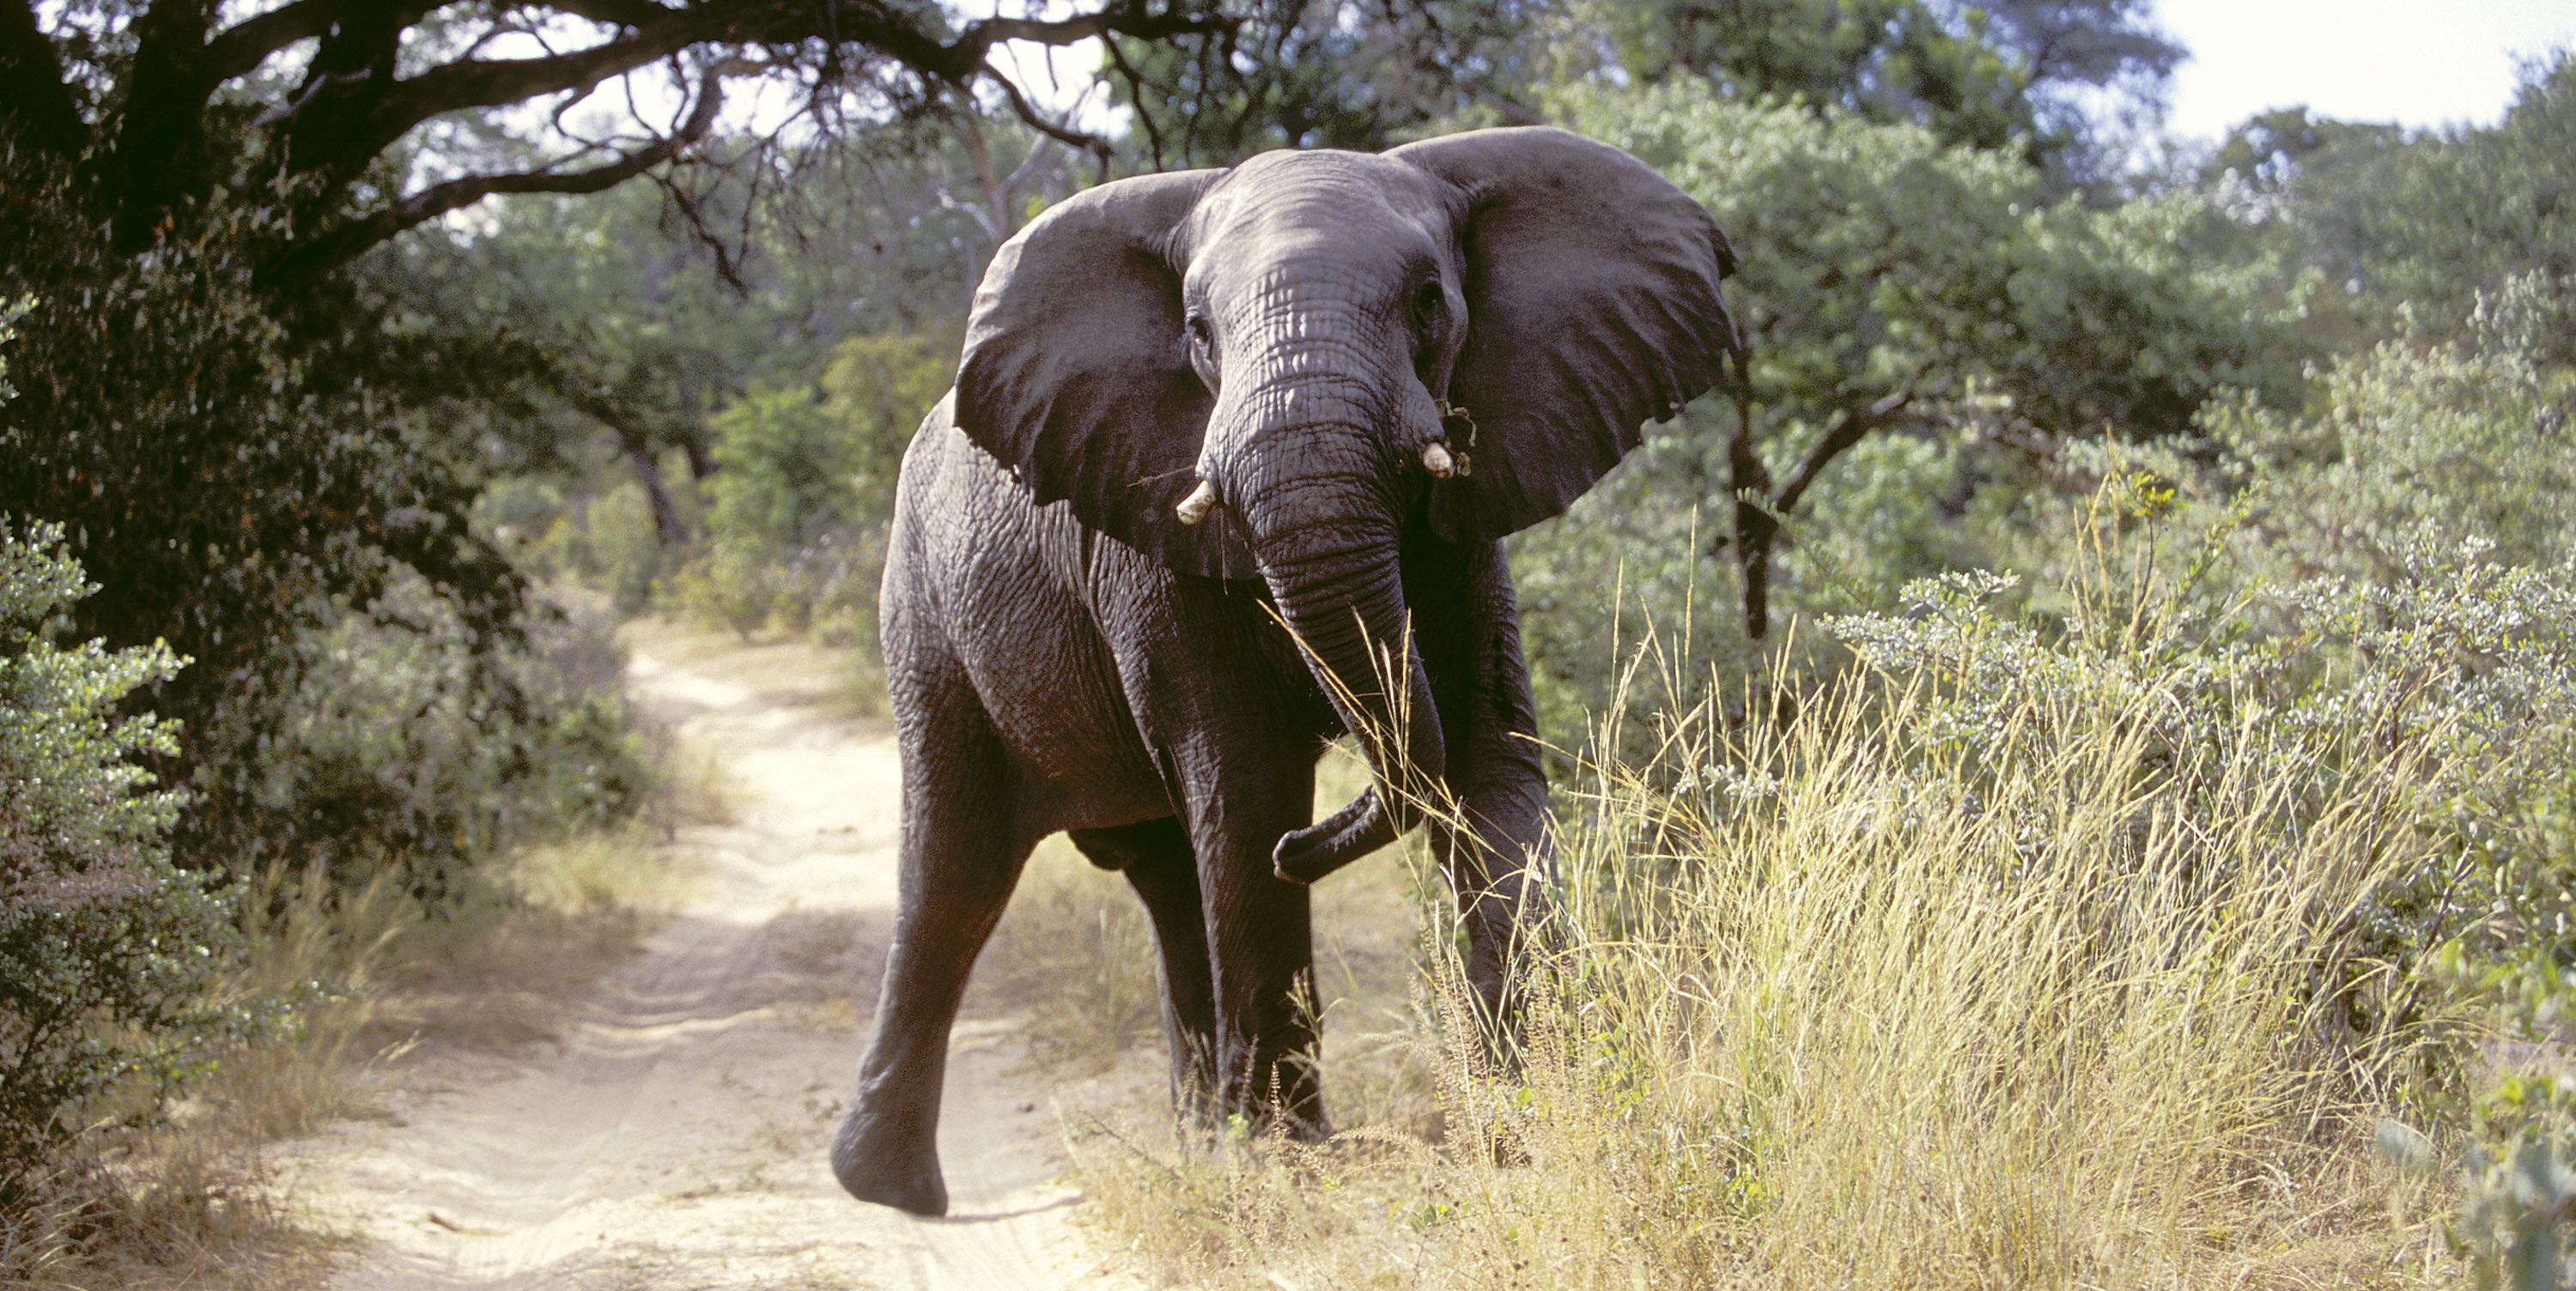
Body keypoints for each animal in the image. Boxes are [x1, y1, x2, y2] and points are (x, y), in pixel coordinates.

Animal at [830, 125, 1741, 1217]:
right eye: (1198, 333)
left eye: (1429, 301)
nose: (1311, 843)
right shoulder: (1152, 540)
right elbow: (1249, 780)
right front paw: (1291, 1168)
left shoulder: (1471, 520)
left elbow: (1488, 765)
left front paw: (1532, 1129)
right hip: (923, 615)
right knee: (956, 873)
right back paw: (893, 1191)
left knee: (1167, 877)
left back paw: (1198, 1141)